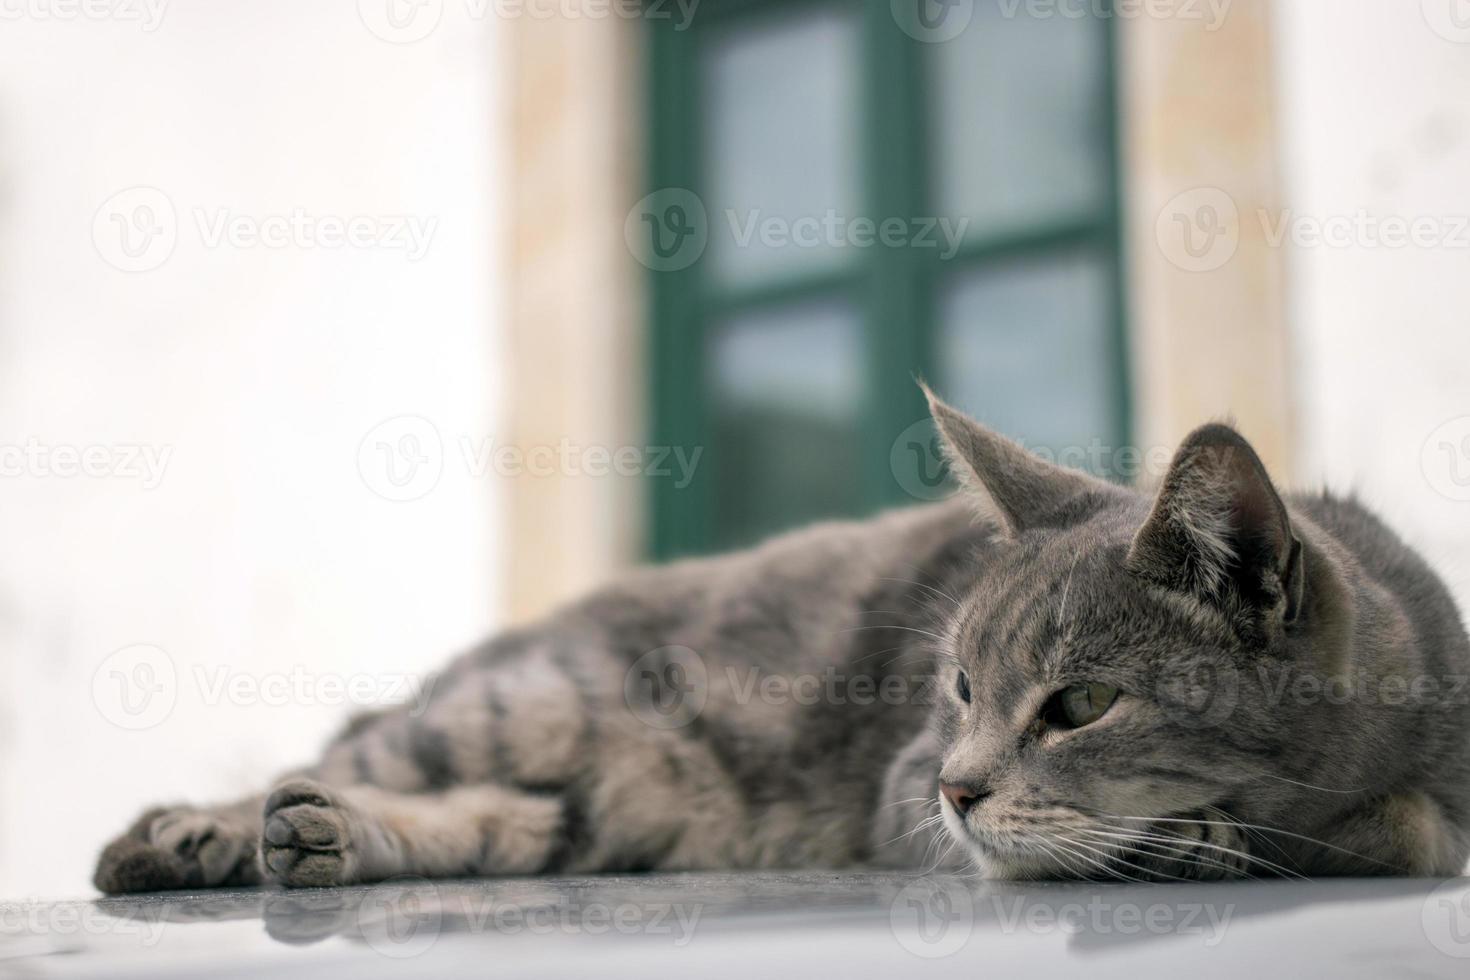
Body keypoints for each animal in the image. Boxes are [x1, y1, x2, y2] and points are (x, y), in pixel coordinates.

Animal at [94, 387, 1470, 893]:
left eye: (1078, 704)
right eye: (958, 687)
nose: (961, 784)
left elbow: (1408, 825)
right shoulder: (903, 788)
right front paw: (1203, 837)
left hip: (597, 808)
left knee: (471, 822)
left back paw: (315, 837)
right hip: (520, 710)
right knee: (349, 757)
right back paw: (195, 831)